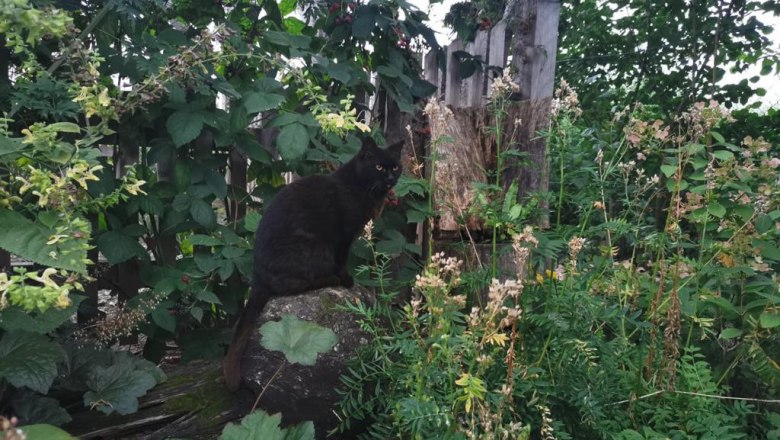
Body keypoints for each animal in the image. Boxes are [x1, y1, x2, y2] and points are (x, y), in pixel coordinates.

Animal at [221, 138, 400, 392]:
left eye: (395, 167)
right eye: (378, 167)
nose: (391, 178)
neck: (361, 187)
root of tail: (258, 277)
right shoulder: (343, 238)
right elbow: (342, 261)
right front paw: (346, 279)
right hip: (315, 248)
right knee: (291, 285)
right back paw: (331, 279)